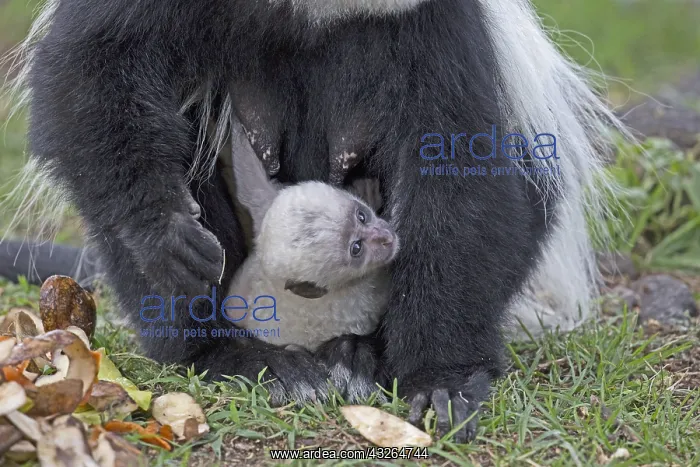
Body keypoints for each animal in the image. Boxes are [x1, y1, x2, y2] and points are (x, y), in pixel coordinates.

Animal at [2, 0, 631, 443]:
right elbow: (93, 66)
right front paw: (163, 230)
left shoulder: (442, 20)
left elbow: (456, 164)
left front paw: (443, 379)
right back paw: (234, 355)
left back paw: (360, 353)